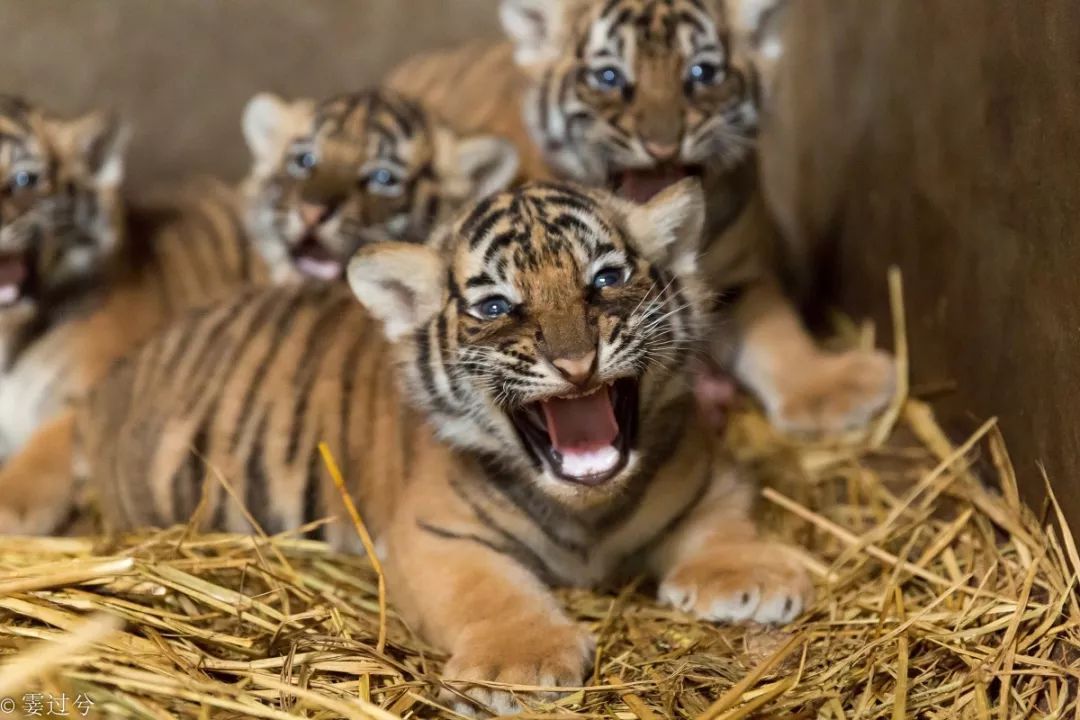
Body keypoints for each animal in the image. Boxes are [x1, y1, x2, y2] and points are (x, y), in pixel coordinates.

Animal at [76, 180, 812, 714]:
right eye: (496, 307)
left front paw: (753, 579)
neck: (586, 512)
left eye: (604, 278)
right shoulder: (434, 534)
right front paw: (521, 663)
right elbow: (487, 591)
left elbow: (722, 522)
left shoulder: (711, 473)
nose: (576, 363)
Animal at [387, 0, 896, 437]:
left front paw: (832, 388)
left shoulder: (741, 277)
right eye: (610, 77)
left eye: (701, 73)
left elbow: (777, 329)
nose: (663, 148)